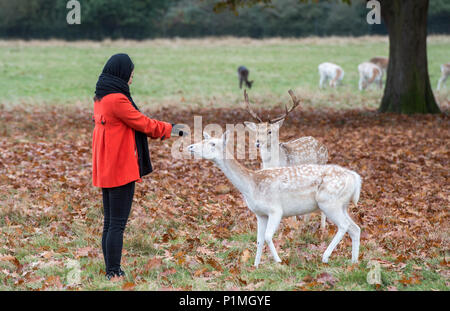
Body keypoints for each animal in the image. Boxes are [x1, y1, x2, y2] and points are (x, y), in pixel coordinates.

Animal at [187, 132, 362, 268]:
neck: (251, 186)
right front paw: (255, 265)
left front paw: (278, 261)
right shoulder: (260, 214)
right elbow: (259, 240)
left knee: (344, 226)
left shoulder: (275, 210)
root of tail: (356, 179)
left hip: (329, 203)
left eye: (212, 143)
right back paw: (353, 261)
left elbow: (268, 236)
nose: (190, 147)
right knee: (355, 228)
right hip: (342, 205)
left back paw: (325, 257)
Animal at [244, 90, 328, 232]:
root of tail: (324, 146)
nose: (257, 143)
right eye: (257, 131)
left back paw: (322, 228)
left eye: (270, 131)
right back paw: (305, 223)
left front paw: (292, 227)